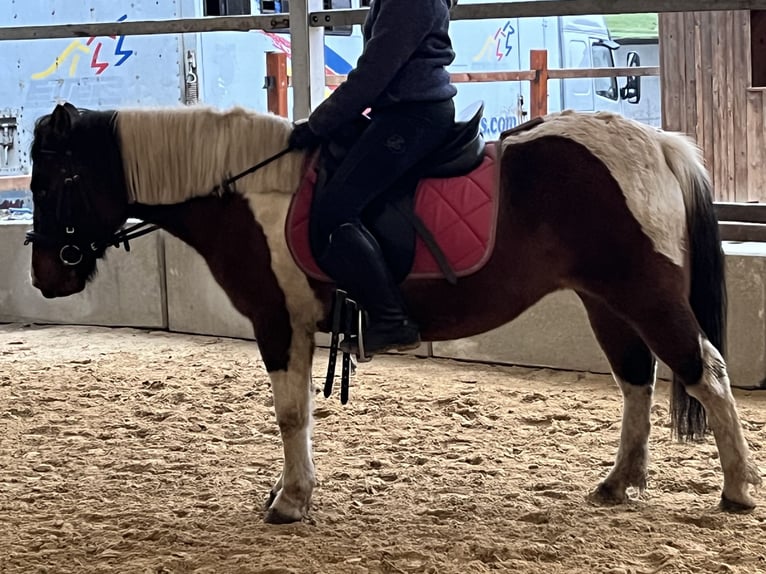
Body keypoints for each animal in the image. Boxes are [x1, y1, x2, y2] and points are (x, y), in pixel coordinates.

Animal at [25, 101, 760, 523]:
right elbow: (298, 412)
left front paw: (290, 501)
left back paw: (737, 491)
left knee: (707, 374)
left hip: (644, 293)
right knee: (637, 379)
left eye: (55, 180)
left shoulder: (278, 322)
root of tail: (658, 143)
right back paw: (619, 482)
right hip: (605, 299)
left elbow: (290, 414)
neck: (247, 193)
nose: (43, 276)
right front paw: (291, 493)